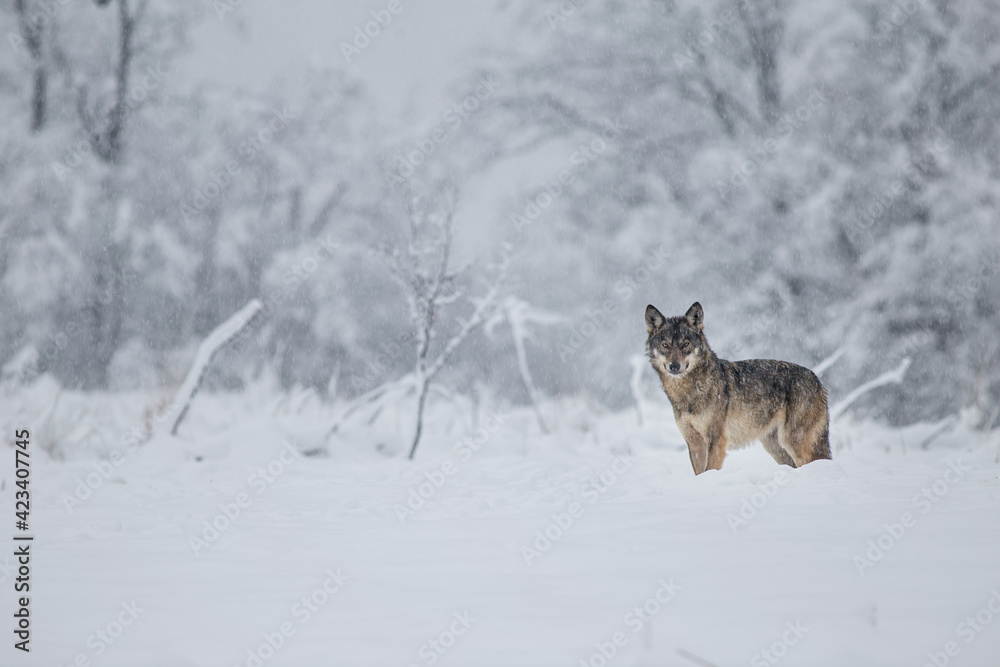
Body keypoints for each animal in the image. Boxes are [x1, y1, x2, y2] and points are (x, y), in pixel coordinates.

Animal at [645, 302, 831, 474]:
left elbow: (709, 469)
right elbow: (700, 472)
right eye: (665, 345)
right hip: (776, 448)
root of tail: (817, 379)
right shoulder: (694, 443)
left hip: (793, 441)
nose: (674, 366)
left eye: (685, 344)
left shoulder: (716, 440)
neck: (689, 391)